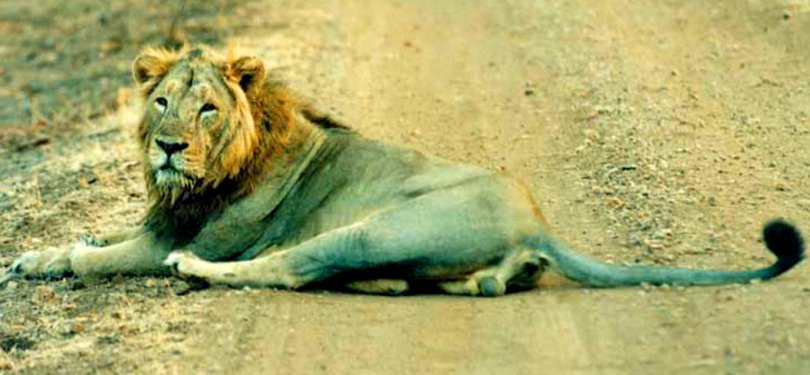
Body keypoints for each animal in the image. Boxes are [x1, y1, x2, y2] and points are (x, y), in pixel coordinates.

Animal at [1, 45, 800, 296]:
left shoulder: (183, 232)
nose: (167, 147)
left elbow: (97, 256)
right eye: (162, 101)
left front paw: (56, 259)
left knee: (292, 268)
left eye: (206, 109)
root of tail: (538, 222)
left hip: (377, 227)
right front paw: (30, 256)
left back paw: (197, 272)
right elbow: (86, 239)